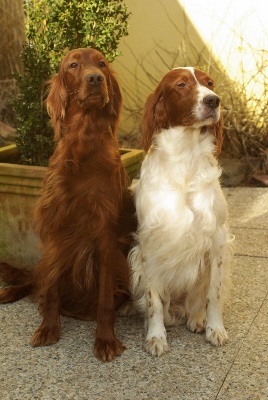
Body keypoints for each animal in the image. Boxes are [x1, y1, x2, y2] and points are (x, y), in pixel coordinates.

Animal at [0, 47, 136, 362]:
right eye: (73, 65)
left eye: (102, 64)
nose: (95, 79)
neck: (85, 139)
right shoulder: (56, 228)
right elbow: (50, 288)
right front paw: (48, 327)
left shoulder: (105, 234)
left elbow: (104, 300)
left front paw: (105, 339)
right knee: (35, 280)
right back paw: (9, 292)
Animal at [121, 68, 232, 356]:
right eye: (181, 85)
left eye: (210, 83)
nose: (213, 100)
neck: (186, 157)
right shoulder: (149, 243)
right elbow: (154, 301)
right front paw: (155, 336)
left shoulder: (217, 240)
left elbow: (213, 293)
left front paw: (215, 329)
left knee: (196, 299)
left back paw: (196, 318)